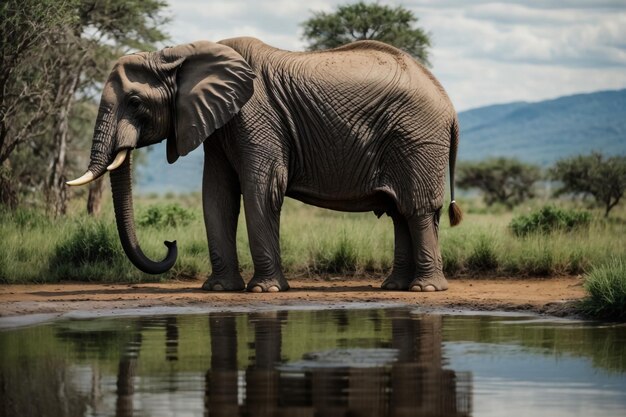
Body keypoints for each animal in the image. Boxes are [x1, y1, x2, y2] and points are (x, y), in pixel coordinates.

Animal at [68, 37, 460, 292]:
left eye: (135, 102)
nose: (169, 243)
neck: (180, 54)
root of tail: (449, 104)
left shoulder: (256, 116)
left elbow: (263, 188)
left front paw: (264, 290)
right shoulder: (219, 123)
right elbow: (217, 195)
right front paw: (219, 290)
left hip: (417, 140)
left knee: (416, 210)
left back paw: (425, 290)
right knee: (399, 212)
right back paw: (394, 287)